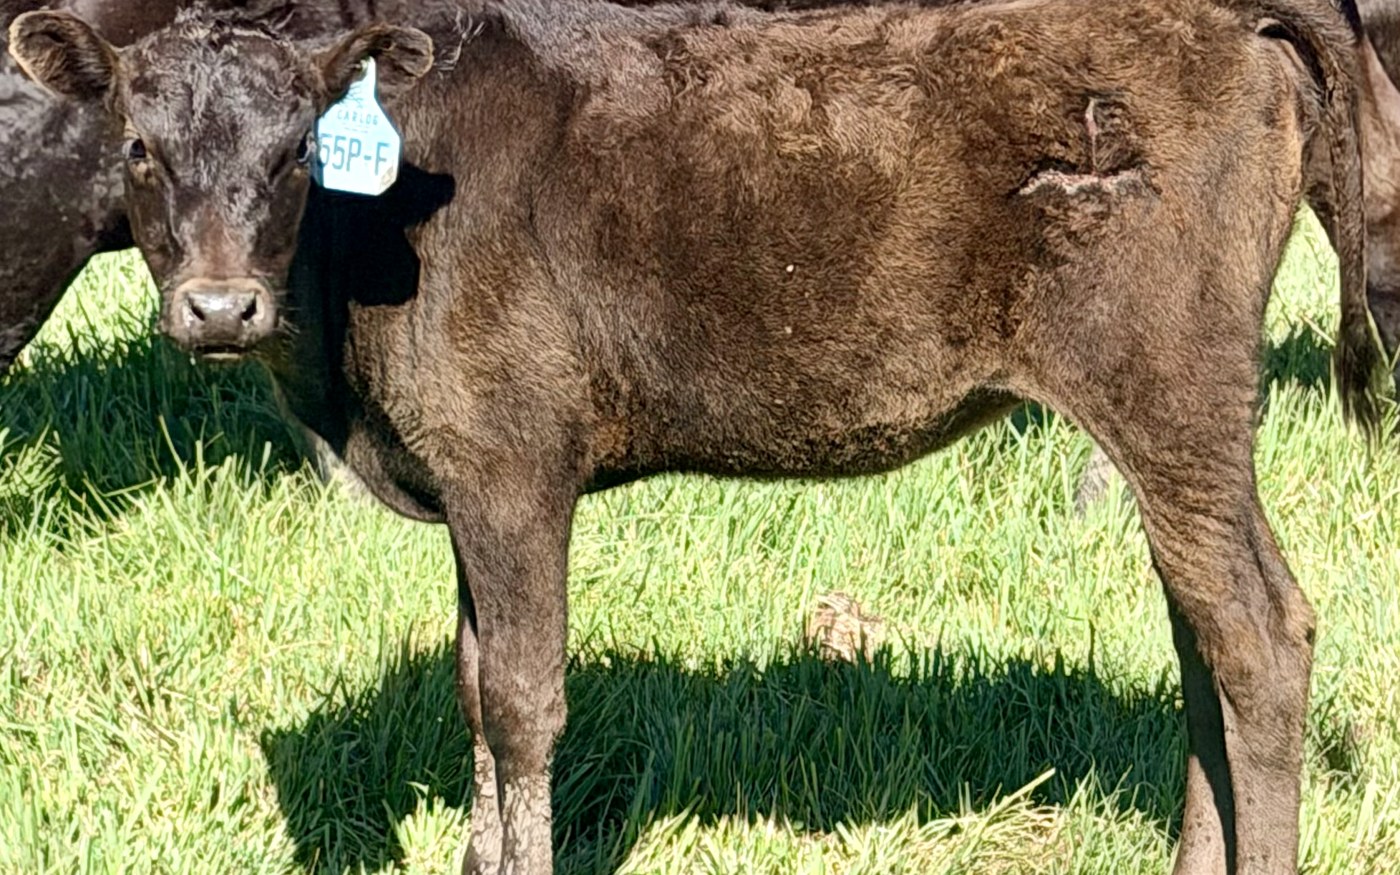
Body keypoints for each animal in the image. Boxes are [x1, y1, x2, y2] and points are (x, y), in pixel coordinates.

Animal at [7, 0, 1389, 872]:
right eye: (138, 148)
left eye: (300, 151)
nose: (218, 307)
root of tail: (1230, 21)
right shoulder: (465, 477)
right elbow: (471, 688)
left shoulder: (512, 463)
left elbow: (523, 701)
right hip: (1177, 434)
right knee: (1200, 637)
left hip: (1171, 393)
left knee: (1259, 633)